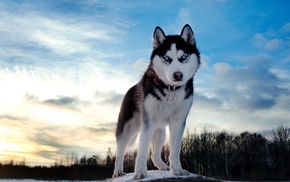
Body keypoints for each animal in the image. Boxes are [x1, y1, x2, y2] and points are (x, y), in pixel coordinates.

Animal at [112, 24, 199, 179]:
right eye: (166, 58)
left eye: (183, 57)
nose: (178, 75)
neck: (170, 89)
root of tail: (130, 89)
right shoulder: (148, 122)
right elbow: (142, 150)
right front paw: (140, 172)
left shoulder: (178, 122)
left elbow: (175, 149)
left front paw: (177, 170)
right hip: (128, 128)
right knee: (120, 151)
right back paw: (118, 171)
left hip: (159, 131)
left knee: (154, 154)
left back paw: (162, 166)